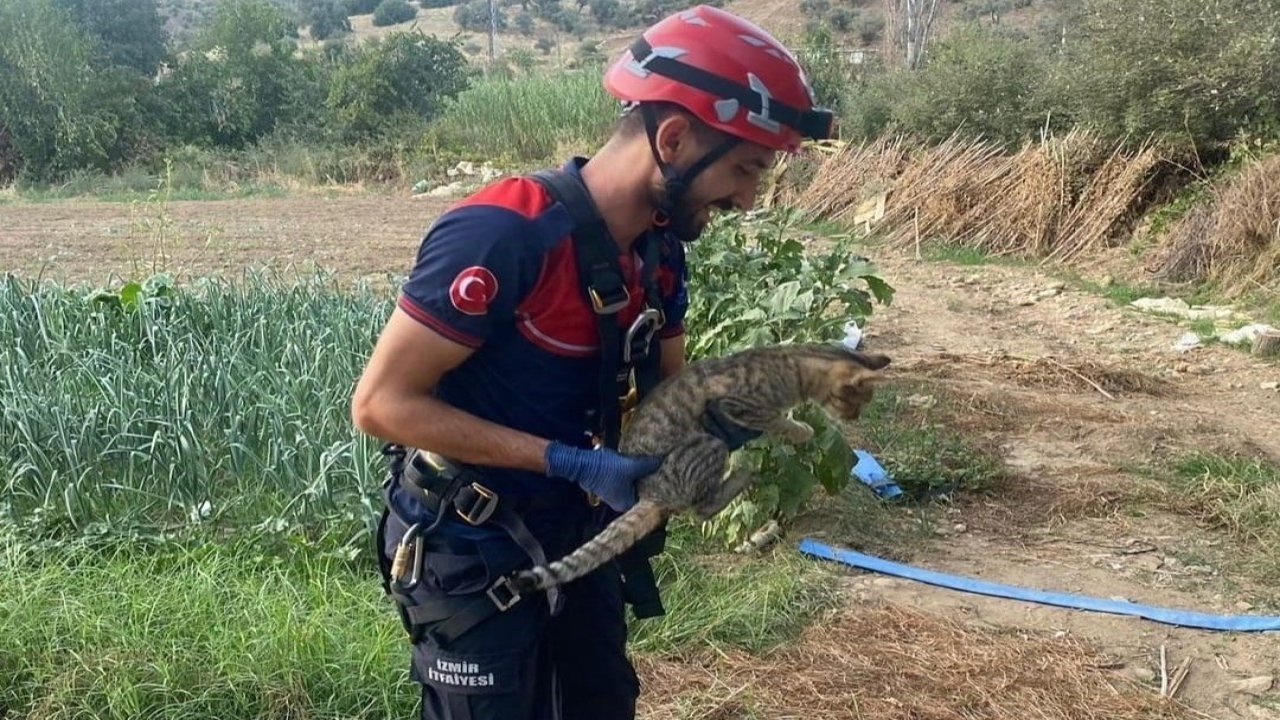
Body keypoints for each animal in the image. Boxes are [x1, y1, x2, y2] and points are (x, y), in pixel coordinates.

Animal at [509, 343, 890, 594]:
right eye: (856, 403)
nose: (855, 418)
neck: (793, 364)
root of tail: (649, 495)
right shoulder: (739, 406)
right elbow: (777, 420)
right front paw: (801, 430)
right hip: (710, 444)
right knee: (701, 508)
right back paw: (744, 472)